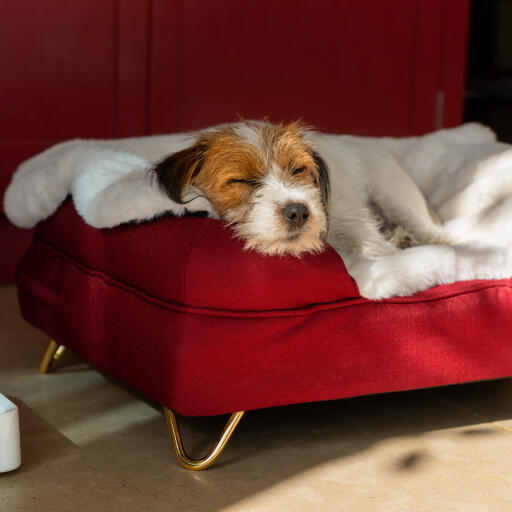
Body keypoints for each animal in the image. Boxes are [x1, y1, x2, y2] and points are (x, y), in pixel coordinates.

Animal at [153, 121, 448, 260]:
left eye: (297, 170)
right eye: (243, 181)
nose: (298, 211)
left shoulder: (354, 219)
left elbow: (374, 248)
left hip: (395, 198)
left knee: (441, 236)